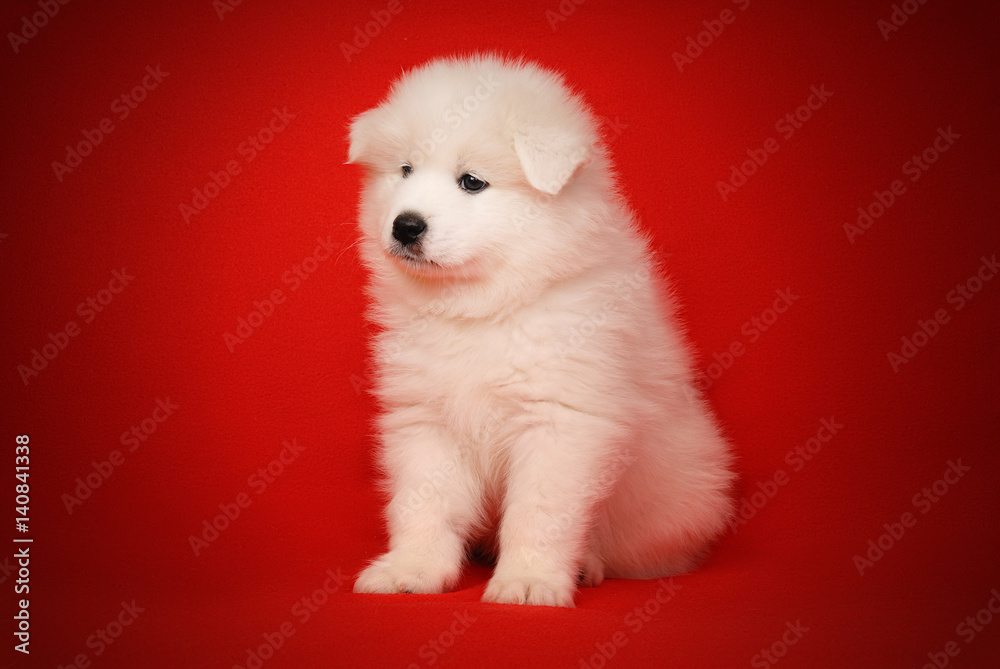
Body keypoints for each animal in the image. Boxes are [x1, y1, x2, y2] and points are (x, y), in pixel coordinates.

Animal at [350, 53, 736, 604]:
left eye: (471, 182)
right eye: (404, 170)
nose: (405, 226)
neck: (483, 307)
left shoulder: (560, 422)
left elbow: (539, 511)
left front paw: (528, 581)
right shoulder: (426, 418)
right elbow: (424, 503)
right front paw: (411, 569)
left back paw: (588, 567)